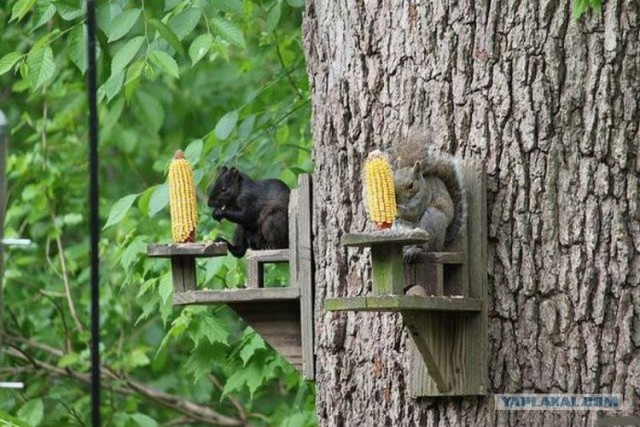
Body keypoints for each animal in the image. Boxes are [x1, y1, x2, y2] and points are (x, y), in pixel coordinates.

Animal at [390, 135, 464, 264]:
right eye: (392, 179)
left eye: (411, 185)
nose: (395, 200)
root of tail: (441, 245)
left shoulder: (424, 198)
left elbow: (413, 213)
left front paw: (398, 208)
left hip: (431, 220)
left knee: (426, 247)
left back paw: (414, 251)